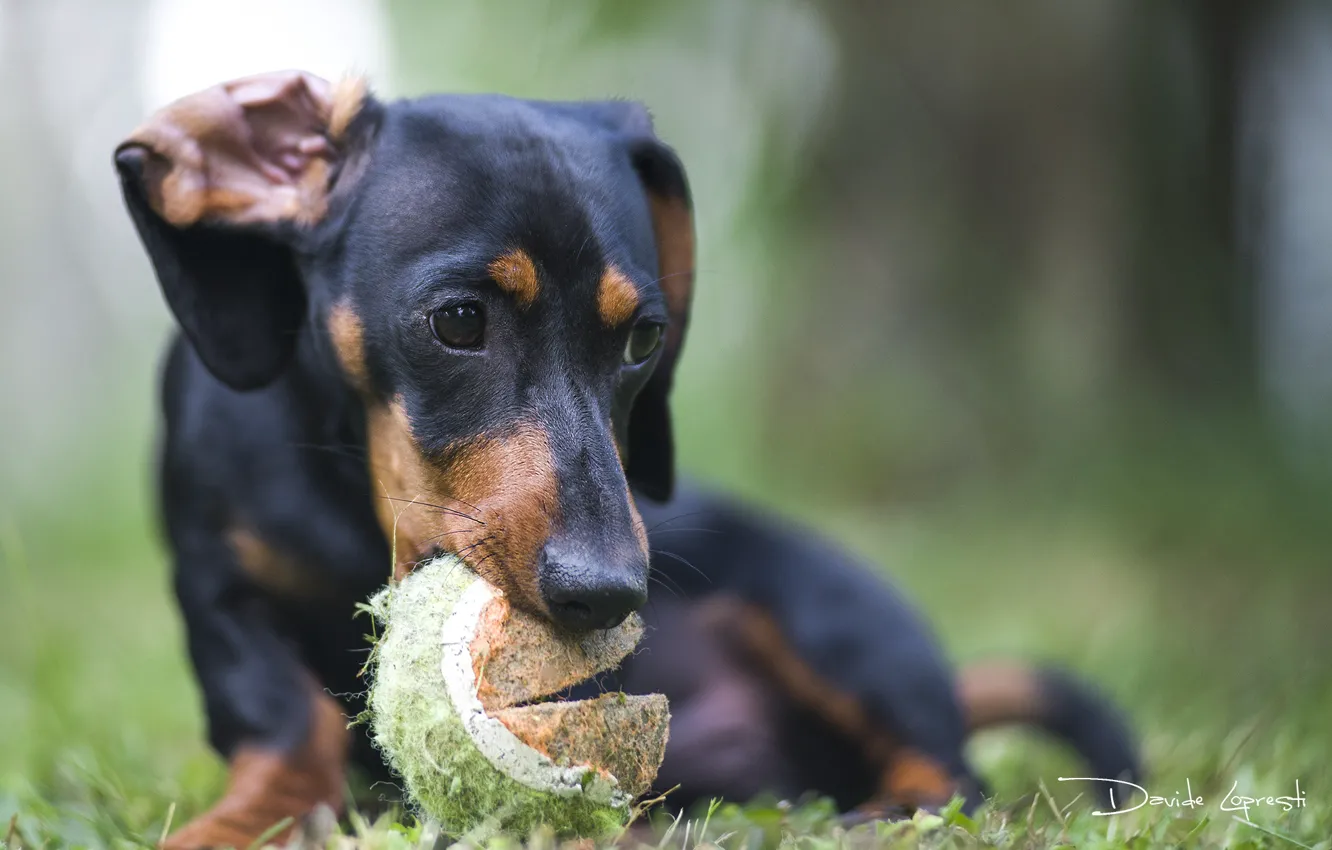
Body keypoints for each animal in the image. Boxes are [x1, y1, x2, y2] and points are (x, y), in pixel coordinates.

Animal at [114, 73, 1140, 850]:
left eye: (644, 337)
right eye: (458, 320)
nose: (608, 594)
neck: (351, 498)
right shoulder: (218, 589)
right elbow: (286, 720)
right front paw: (248, 821)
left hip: (827, 617)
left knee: (953, 778)